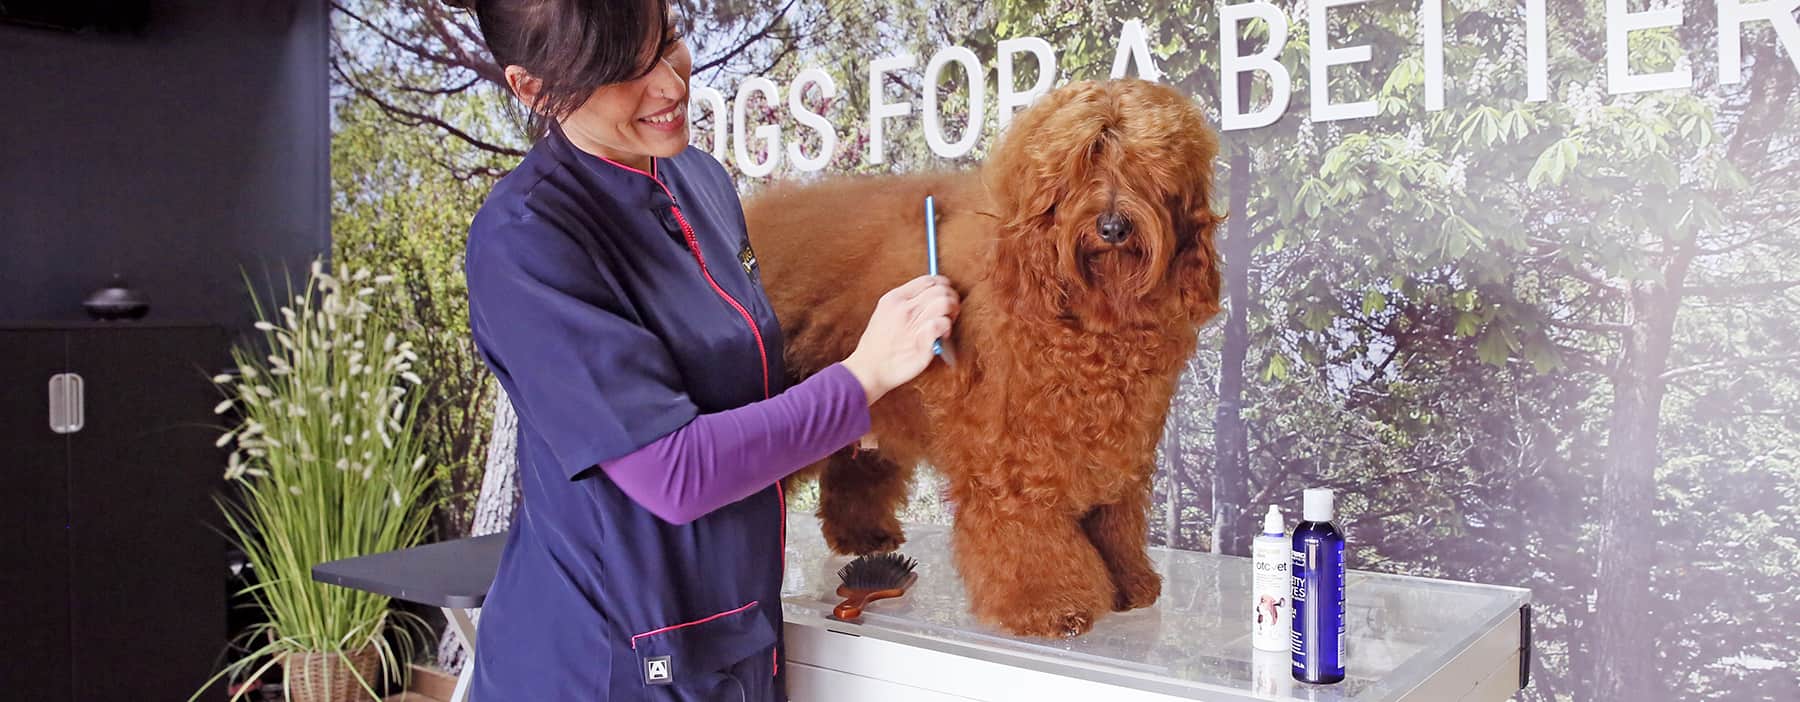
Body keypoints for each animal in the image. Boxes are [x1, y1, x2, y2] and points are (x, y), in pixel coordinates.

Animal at [745, 79, 1224, 637]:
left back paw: (865, 537)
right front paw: (1049, 604)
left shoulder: (1119, 444)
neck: (1089, 318)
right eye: (1081, 167)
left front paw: (1129, 585)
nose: (1112, 226)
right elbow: (1025, 531)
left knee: (856, 472)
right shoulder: (1011, 453)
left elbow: (1115, 520)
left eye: (1144, 168)